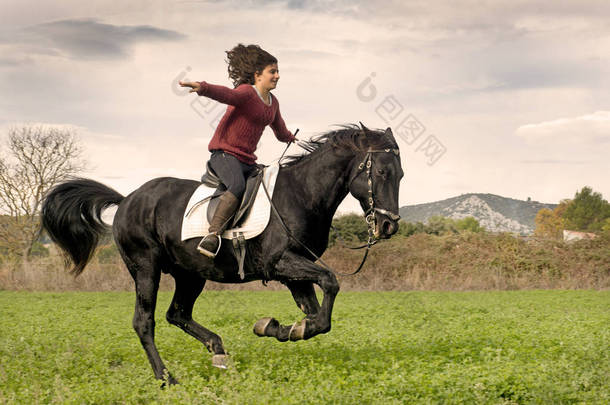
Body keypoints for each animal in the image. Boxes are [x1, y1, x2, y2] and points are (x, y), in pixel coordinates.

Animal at [40, 123, 402, 382]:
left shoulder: (295, 272)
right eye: (382, 172)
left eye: (400, 174)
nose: (389, 226)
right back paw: (167, 378)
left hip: (191, 274)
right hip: (146, 268)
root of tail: (127, 199)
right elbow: (330, 283)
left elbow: (317, 318)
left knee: (177, 314)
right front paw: (276, 326)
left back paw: (218, 351)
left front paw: (280, 328)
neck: (302, 193)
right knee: (145, 321)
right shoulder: (280, 263)